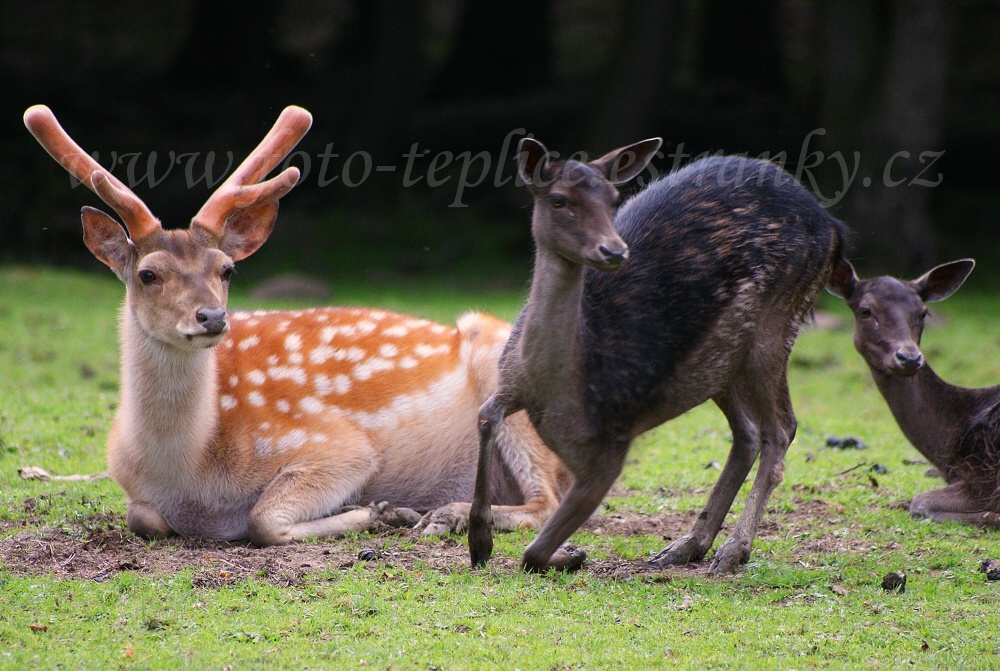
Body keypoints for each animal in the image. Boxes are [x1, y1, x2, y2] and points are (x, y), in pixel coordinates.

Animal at [472, 139, 848, 576]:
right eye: (558, 199)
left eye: (613, 198)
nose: (614, 250)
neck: (559, 389)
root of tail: (833, 228)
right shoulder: (510, 375)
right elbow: (485, 415)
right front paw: (479, 543)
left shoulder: (610, 446)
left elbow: (532, 554)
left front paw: (568, 553)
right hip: (721, 363)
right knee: (748, 433)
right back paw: (687, 545)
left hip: (777, 322)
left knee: (781, 428)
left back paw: (733, 550)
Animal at [828, 260, 1000, 528]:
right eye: (865, 310)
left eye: (923, 313)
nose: (908, 357)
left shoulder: (985, 478)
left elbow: (920, 502)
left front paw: (992, 516)